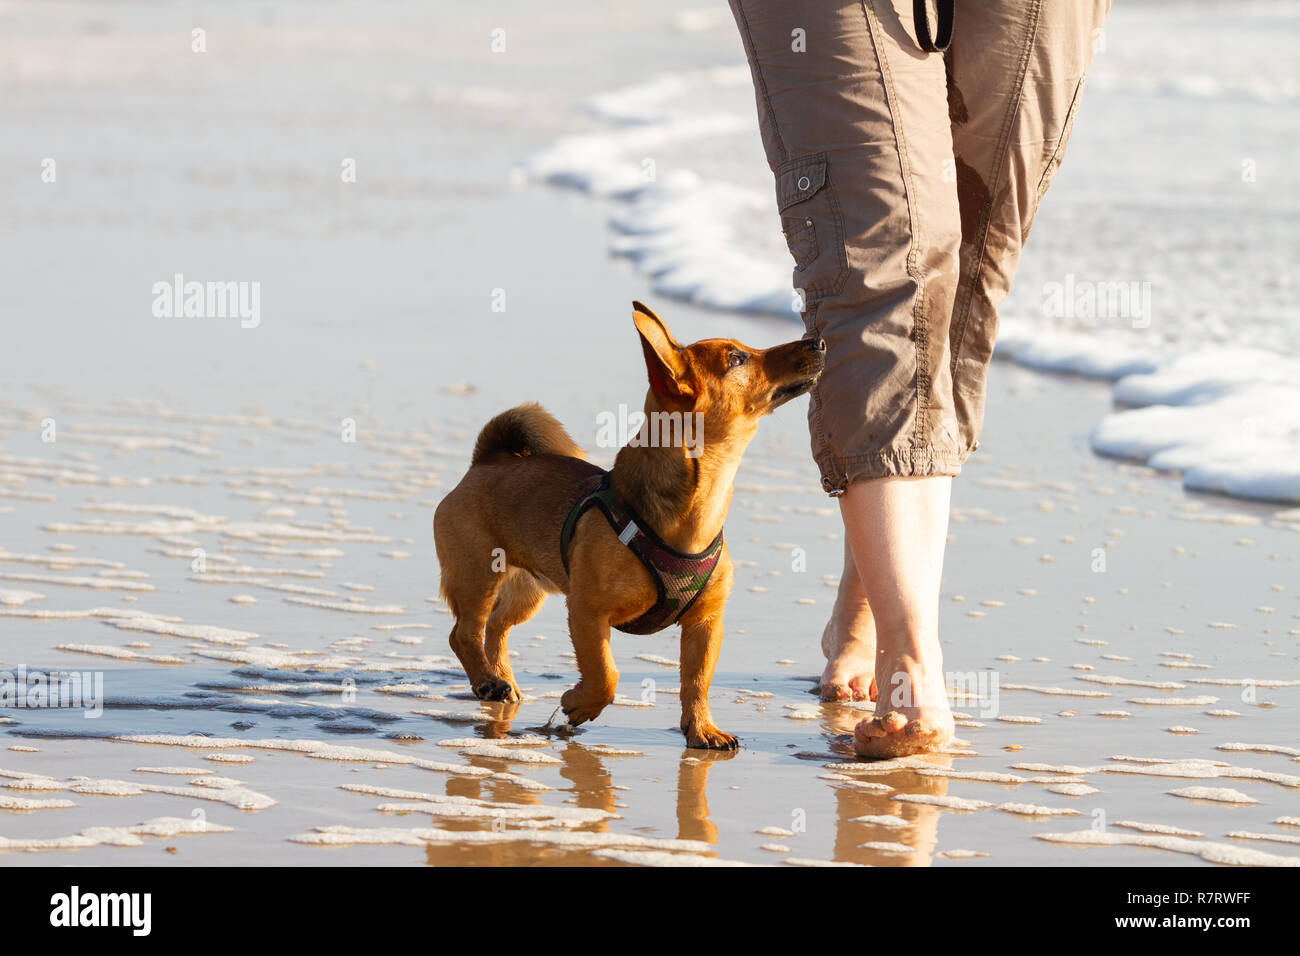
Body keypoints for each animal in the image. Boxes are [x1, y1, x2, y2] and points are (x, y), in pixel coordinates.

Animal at [434, 300, 821, 749]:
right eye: (737, 359)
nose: (818, 340)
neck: (699, 507)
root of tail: (487, 461)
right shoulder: (587, 613)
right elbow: (606, 674)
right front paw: (579, 704)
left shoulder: (706, 624)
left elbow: (697, 681)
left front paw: (701, 728)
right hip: (478, 576)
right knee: (464, 633)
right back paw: (486, 682)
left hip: (527, 590)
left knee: (496, 628)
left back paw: (501, 680)